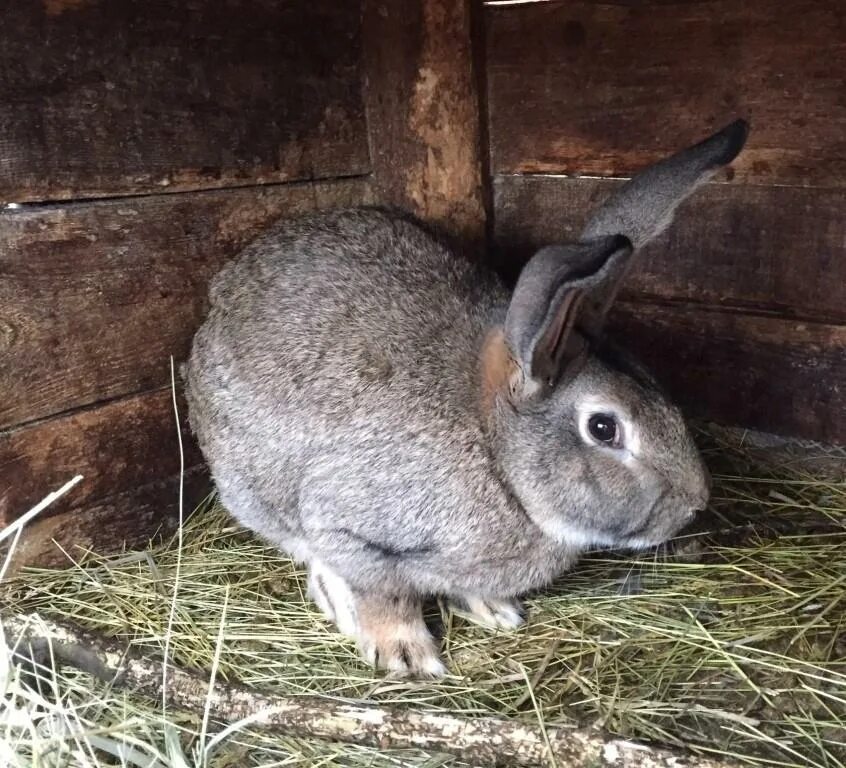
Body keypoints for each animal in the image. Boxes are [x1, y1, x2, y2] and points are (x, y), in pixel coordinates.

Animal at [186, 120, 748, 680]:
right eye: (604, 428)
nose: (696, 502)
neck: (498, 454)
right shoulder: (353, 532)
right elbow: (382, 594)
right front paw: (408, 656)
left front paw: (495, 611)